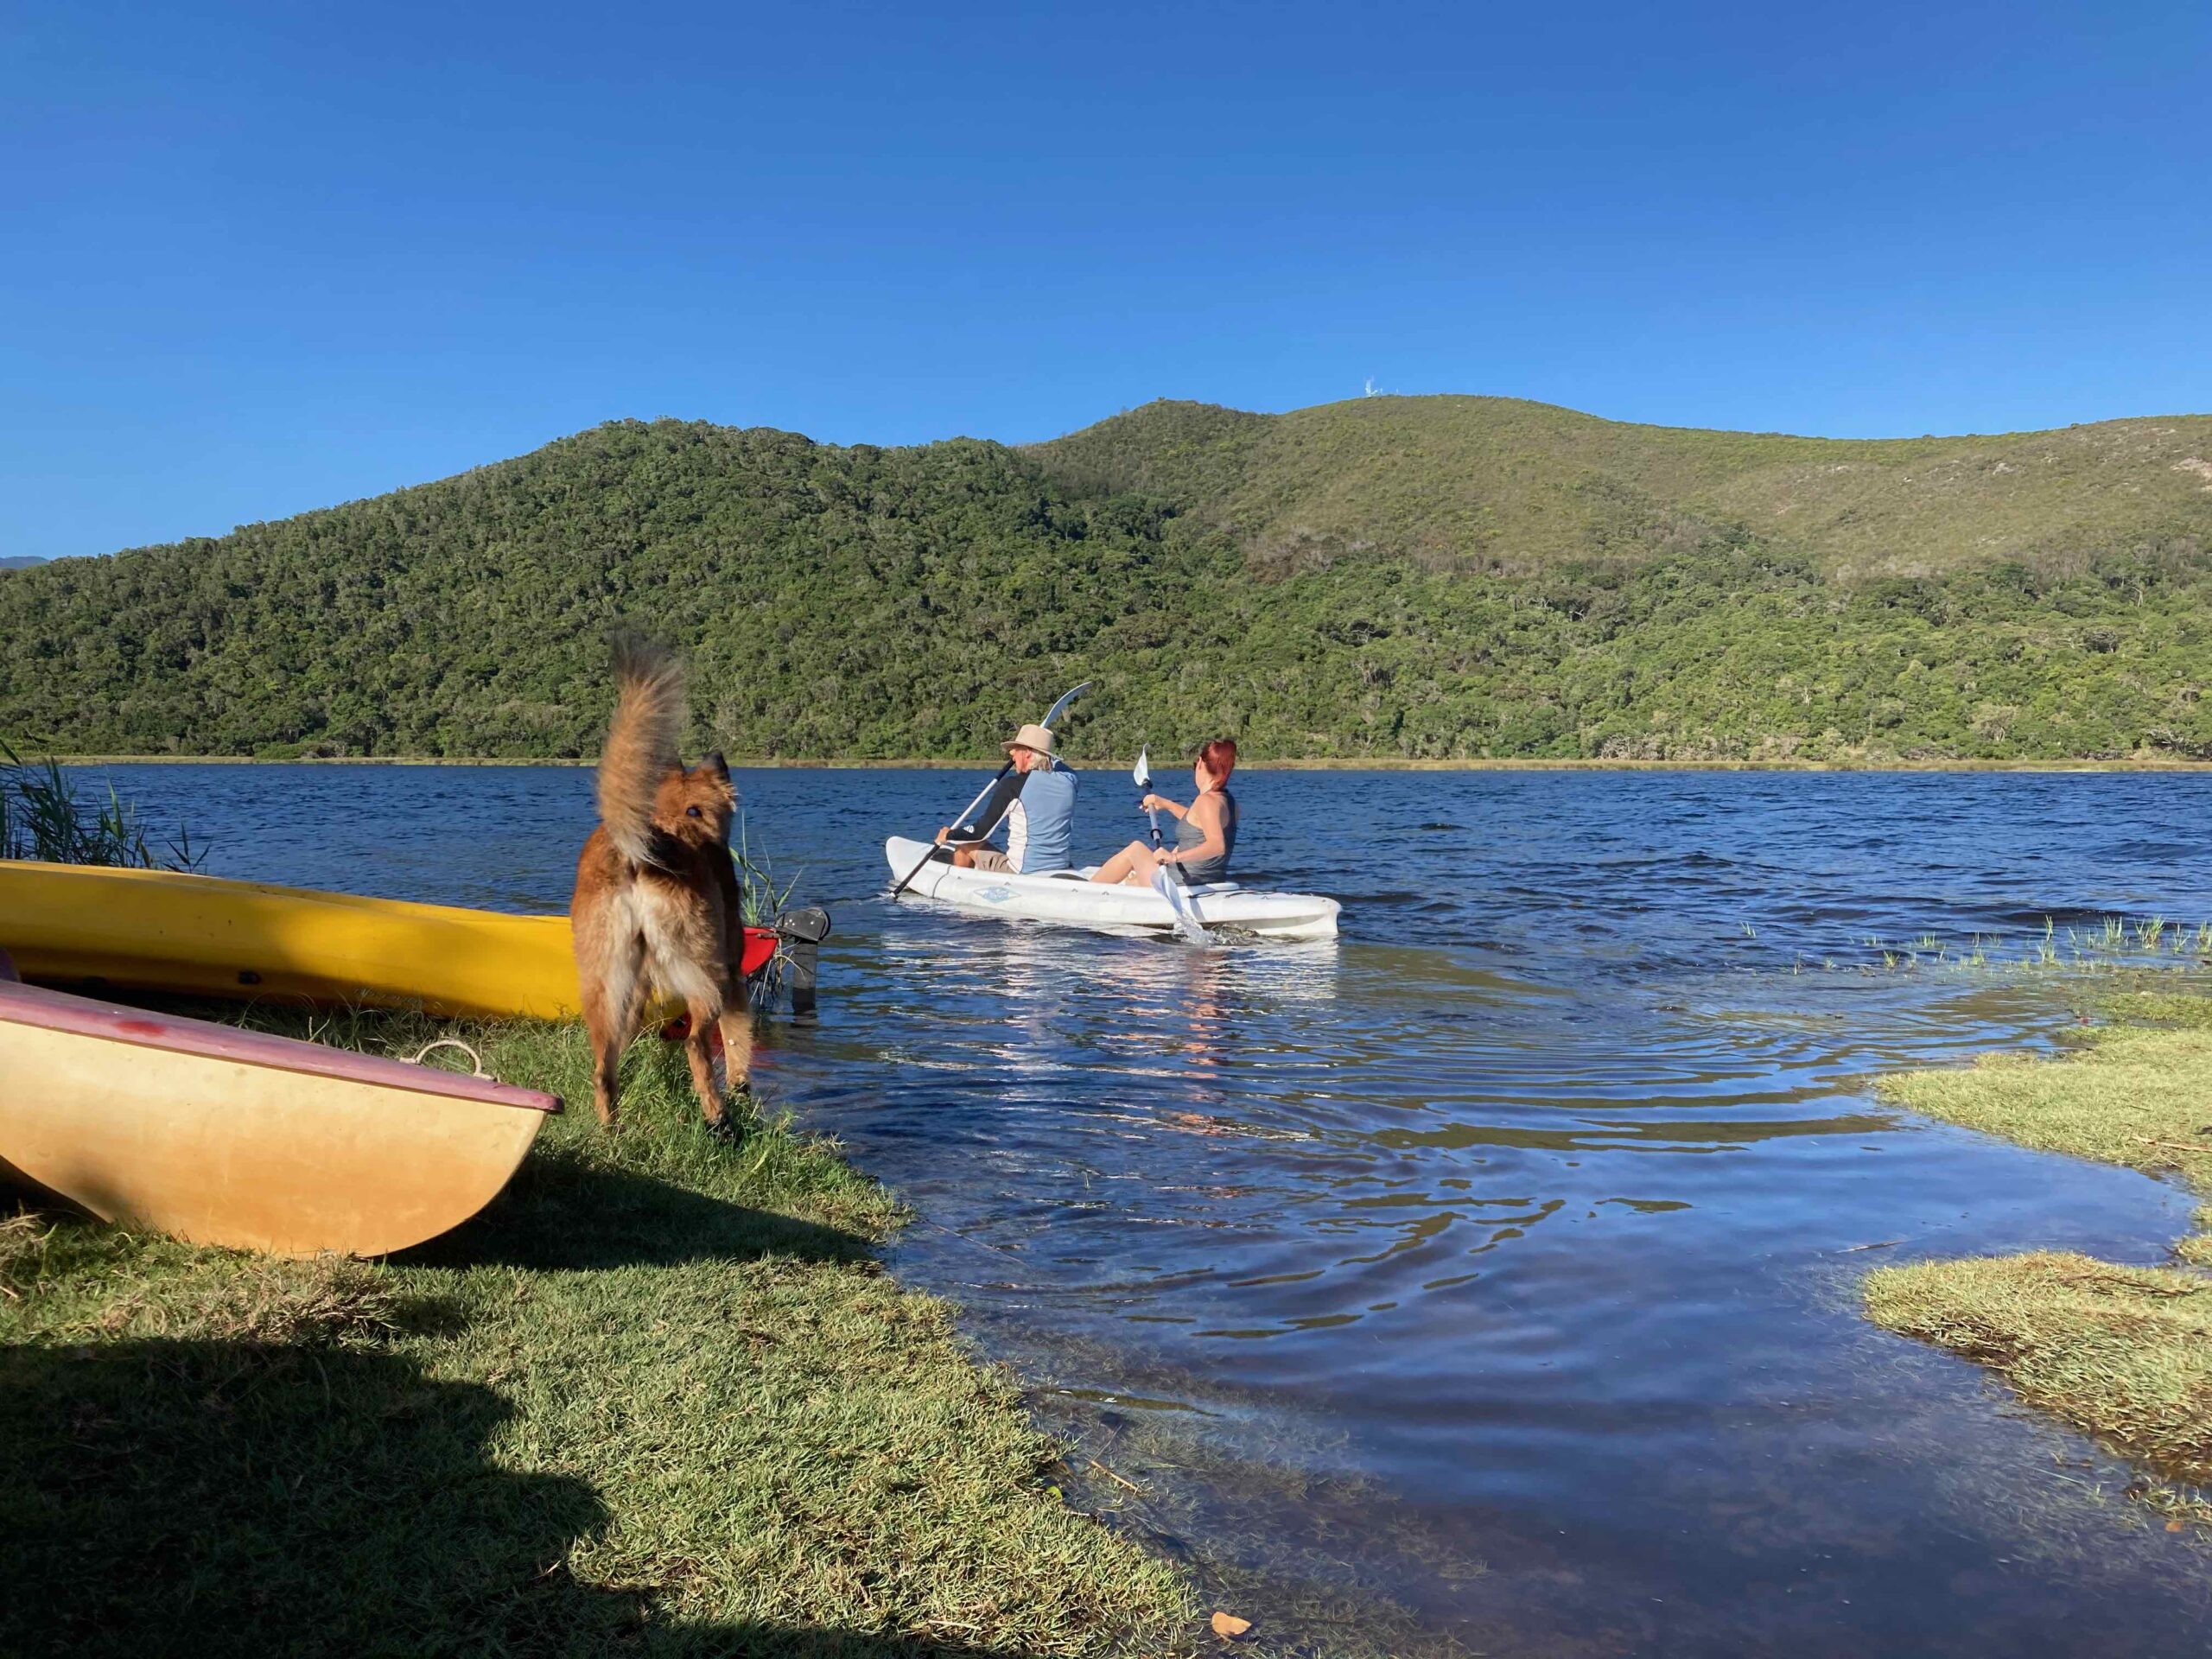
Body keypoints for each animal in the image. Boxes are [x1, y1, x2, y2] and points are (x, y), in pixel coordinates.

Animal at [570, 641, 752, 1141]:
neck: (682, 817)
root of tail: (638, 853)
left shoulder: (636, 989)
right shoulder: (734, 975)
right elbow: (739, 1040)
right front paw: (742, 1089)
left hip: (604, 984)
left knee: (602, 1069)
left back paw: (611, 1131)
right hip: (705, 976)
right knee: (695, 1046)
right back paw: (718, 1118)